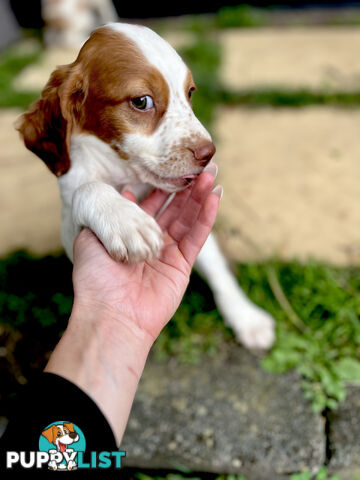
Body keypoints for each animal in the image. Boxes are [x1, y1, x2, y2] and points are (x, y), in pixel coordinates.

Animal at [17, 21, 276, 348]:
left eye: (190, 93)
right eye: (142, 102)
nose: (208, 153)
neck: (126, 176)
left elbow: (217, 267)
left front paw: (245, 316)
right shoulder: (70, 230)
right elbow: (86, 190)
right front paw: (126, 221)